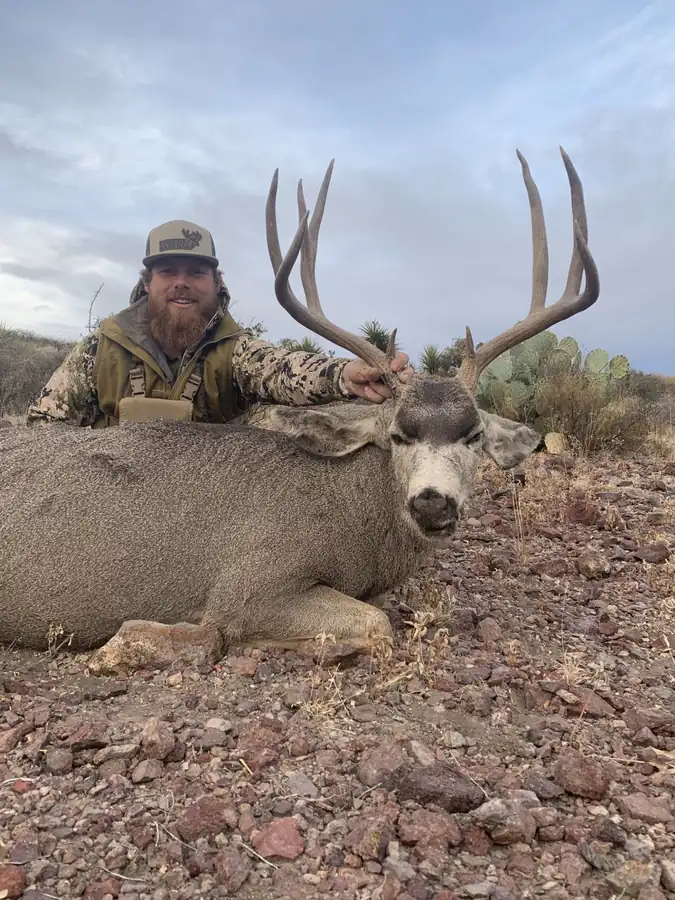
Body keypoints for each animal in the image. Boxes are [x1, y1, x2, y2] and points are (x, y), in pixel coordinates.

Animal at [0, 147, 599, 660]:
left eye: (473, 435)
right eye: (397, 435)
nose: (433, 504)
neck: (352, 521)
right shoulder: (251, 582)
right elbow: (373, 625)